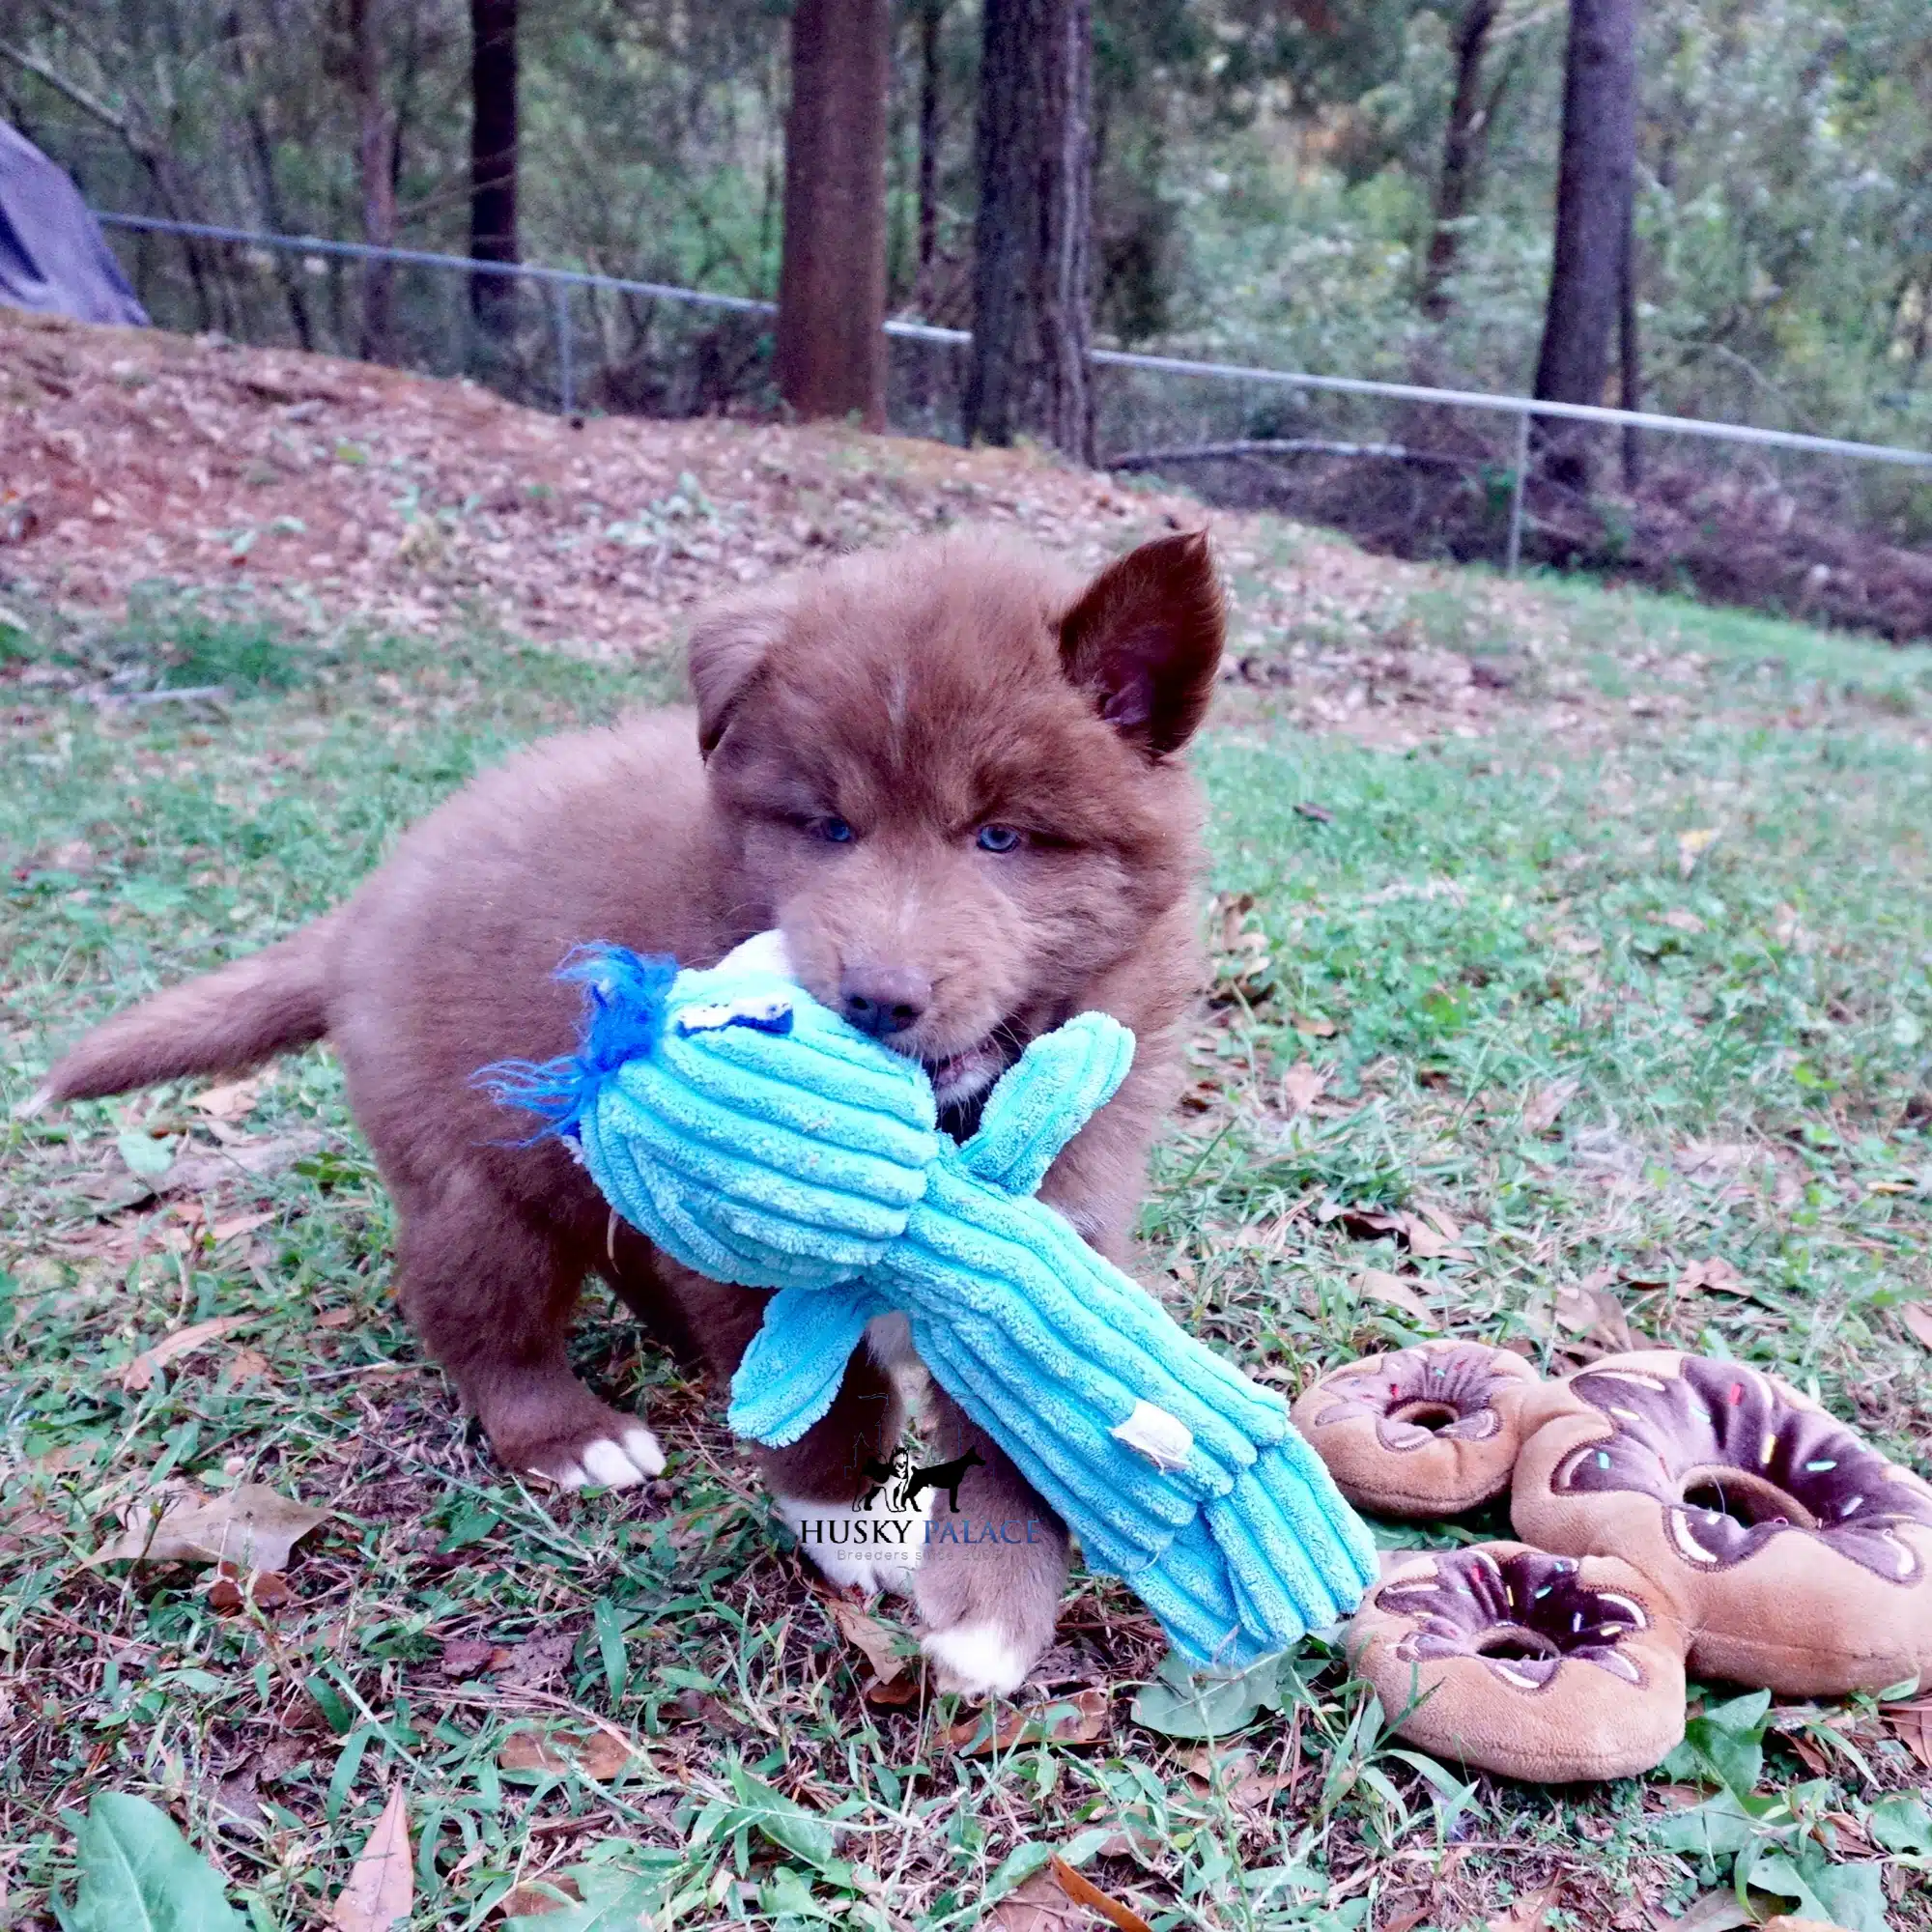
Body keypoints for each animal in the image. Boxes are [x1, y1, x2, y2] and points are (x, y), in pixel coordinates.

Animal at [34, 526, 1221, 1692]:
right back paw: (570, 1435)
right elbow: (827, 1400)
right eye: (827, 827)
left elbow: (1039, 1395)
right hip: (475, 1181)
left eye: (1001, 837)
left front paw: (993, 1609)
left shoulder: (1059, 1216)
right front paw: (851, 1517)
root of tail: (362, 909)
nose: (877, 1000)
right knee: (476, 1312)